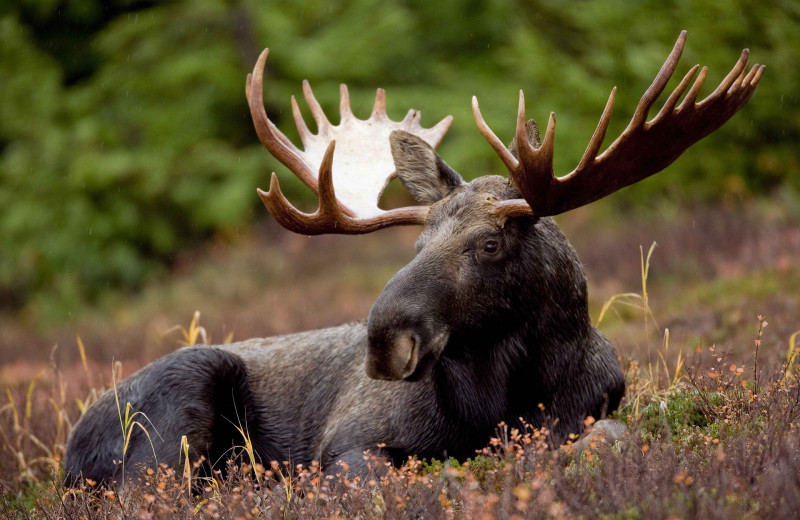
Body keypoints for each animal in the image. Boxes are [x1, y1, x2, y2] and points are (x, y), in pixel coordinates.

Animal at [62, 32, 764, 488]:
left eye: (489, 244)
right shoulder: (349, 446)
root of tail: (68, 450)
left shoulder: (594, 412)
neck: (500, 400)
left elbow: (609, 440)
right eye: (417, 245)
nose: (383, 340)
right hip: (173, 419)